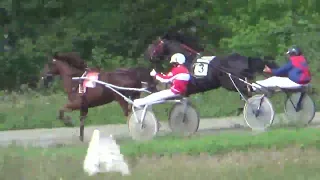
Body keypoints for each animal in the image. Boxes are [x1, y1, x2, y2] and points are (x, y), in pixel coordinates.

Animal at [145, 35, 278, 113]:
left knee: (247, 92)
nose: (148, 55)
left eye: (154, 45)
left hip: (231, 83)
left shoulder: (187, 88)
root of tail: (244, 58)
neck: (186, 61)